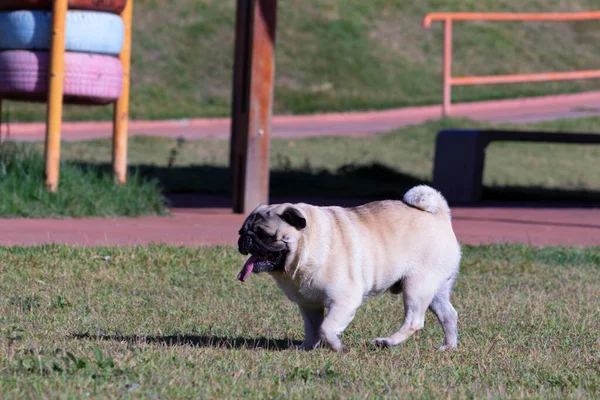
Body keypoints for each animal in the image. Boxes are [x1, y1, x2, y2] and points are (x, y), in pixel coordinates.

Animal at [237, 186, 462, 352]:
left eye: (264, 235)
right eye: (241, 231)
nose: (245, 239)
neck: (306, 246)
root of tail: (440, 215)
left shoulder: (344, 300)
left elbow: (326, 328)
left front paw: (337, 347)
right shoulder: (309, 304)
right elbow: (312, 328)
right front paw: (307, 348)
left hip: (417, 286)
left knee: (414, 321)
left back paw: (387, 342)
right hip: (436, 290)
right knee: (448, 315)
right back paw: (448, 346)